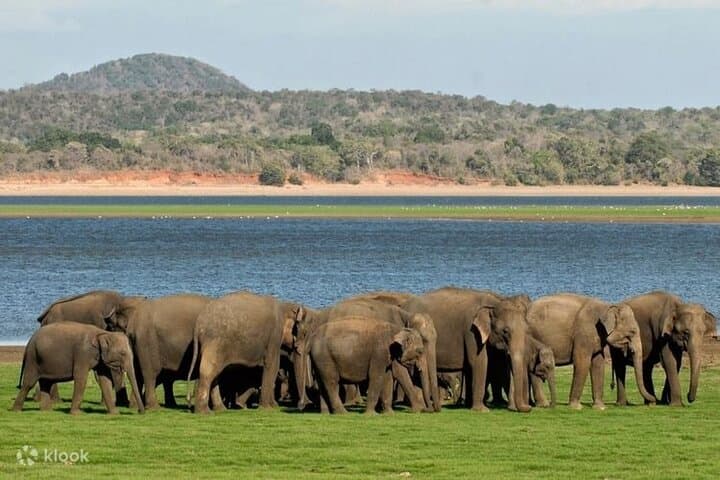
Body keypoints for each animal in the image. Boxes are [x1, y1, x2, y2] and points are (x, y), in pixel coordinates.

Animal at [14, 323, 144, 414]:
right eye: (122, 353)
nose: (140, 412)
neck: (103, 333)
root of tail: (29, 341)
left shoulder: (100, 359)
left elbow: (104, 380)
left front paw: (115, 413)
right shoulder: (82, 353)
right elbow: (81, 377)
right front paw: (77, 413)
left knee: (46, 383)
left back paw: (46, 411)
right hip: (33, 359)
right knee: (29, 383)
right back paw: (16, 410)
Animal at [400, 287, 533, 412]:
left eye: (527, 329)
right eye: (505, 331)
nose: (528, 408)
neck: (494, 302)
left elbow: (476, 366)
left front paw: (469, 406)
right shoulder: (471, 332)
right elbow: (479, 362)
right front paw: (482, 410)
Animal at [527, 293, 656, 410]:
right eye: (632, 332)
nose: (653, 401)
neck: (607, 306)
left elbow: (598, 364)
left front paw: (600, 407)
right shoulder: (584, 334)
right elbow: (582, 362)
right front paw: (576, 407)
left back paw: (541, 404)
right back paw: (544, 404)